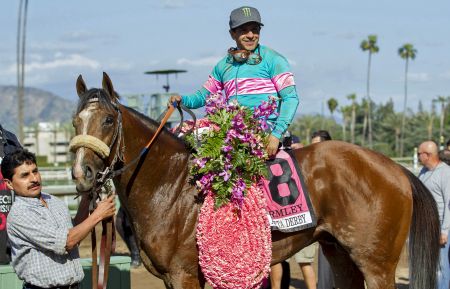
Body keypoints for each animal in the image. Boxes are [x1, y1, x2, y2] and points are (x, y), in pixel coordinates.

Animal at [70, 72, 440, 288]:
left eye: (107, 119)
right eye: (75, 121)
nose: (80, 172)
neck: (170, 186)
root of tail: (395, 169)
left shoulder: (185, 274)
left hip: (377, 264)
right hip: (339, 253)